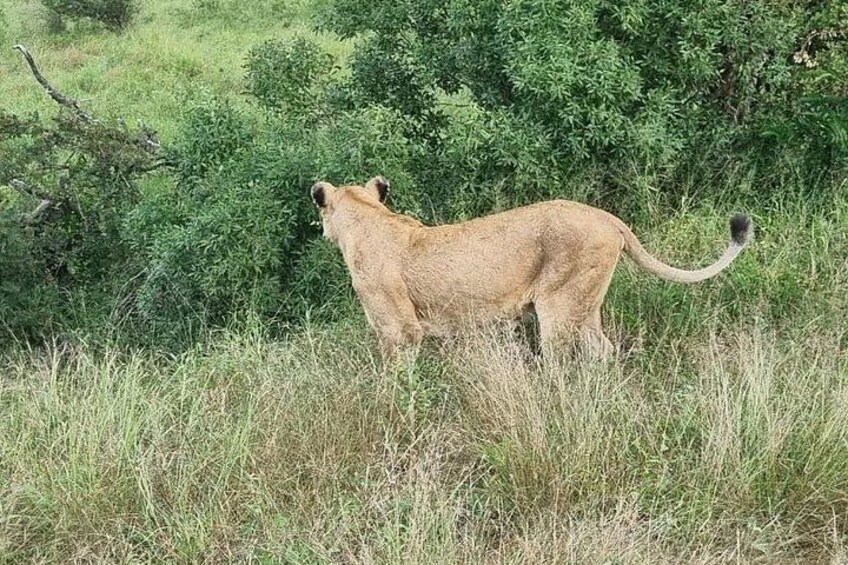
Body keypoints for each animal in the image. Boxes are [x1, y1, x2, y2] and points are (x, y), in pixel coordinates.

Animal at [311, 176, 753, 362]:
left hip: (559, 304)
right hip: (586, 304)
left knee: (560, 359)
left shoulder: (400, 330)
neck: (369, 218)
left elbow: (395, 378)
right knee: (602, 349)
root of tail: (607, 218)